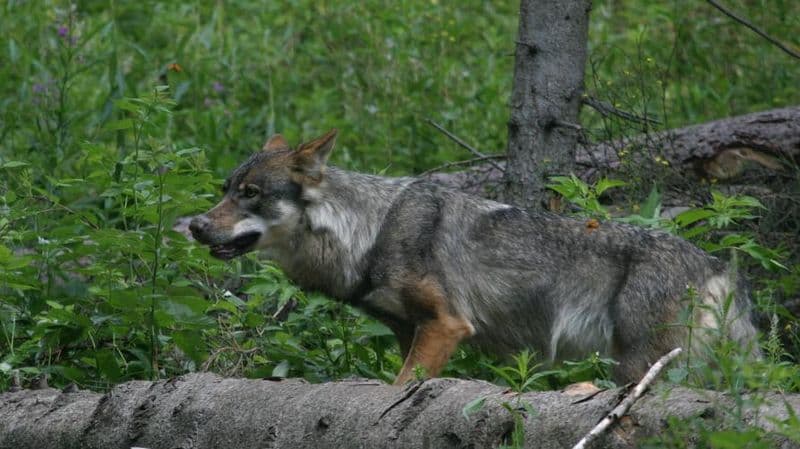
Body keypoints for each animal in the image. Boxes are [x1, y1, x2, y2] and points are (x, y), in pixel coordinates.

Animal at [189, 129, 760, 385]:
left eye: (251, 193)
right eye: (226, 190)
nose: (195, 226)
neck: (371, 231)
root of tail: (717, 266)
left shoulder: (447, 325)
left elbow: (401, 388)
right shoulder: (411, 332)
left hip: (643, 366)